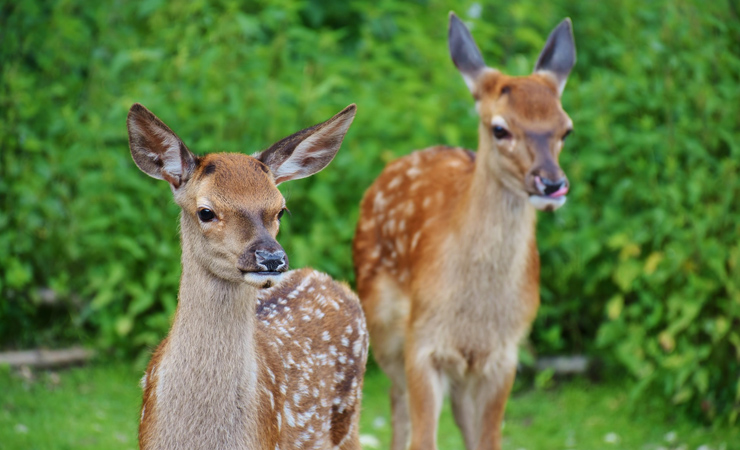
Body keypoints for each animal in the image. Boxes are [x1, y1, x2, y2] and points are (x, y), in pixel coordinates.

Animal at [352, 12, 580, 448]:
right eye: (500, 129)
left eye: (566, 128)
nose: (551, 183)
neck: (475, 315)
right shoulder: (423, 343)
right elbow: (424, 438)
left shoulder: (504, 354)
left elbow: (488, 439)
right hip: (383, 325)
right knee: (396, 402)